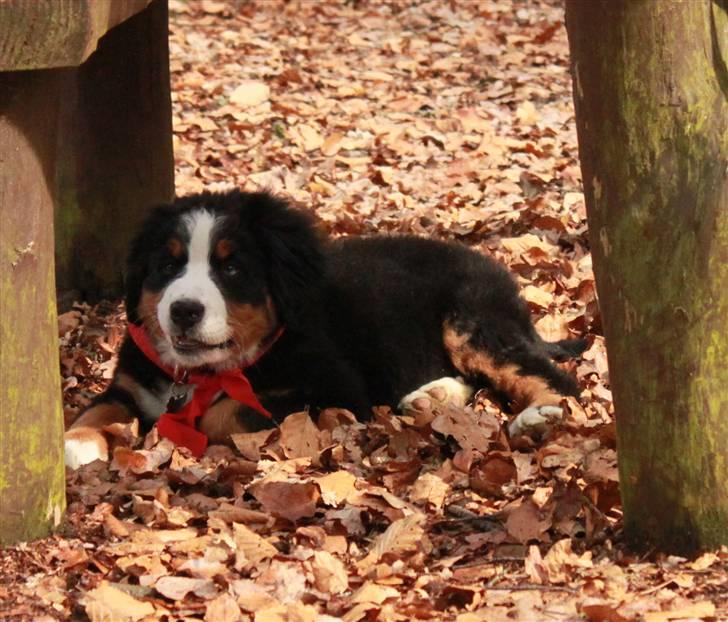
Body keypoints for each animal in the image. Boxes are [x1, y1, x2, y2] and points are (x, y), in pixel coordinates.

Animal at [64, 190, 584, 468]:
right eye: (167, 266)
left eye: (231, 269)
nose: (184, 311)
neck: (201, 374)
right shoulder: (133, 382)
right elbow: (101, 407)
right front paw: (76, 441)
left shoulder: (334, 391)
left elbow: (227, 413)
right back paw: (430, 396)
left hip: (470, 320)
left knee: (546, 375)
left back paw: (539, 414)